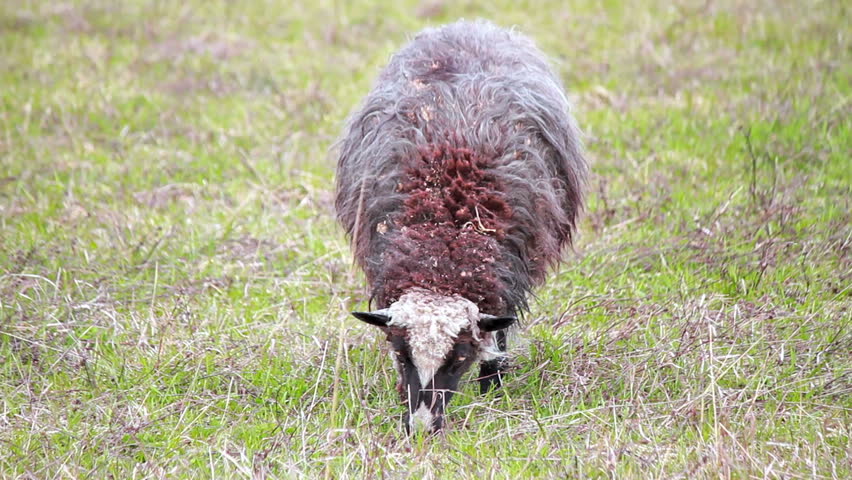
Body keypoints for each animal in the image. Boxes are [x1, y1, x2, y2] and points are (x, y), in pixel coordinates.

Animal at [335, 20, 587, 433]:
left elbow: (496, 338)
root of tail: (470, 25)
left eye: (458, 358)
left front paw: (493, 388)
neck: (443, 247)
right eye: (401, 354)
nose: (421, 428)